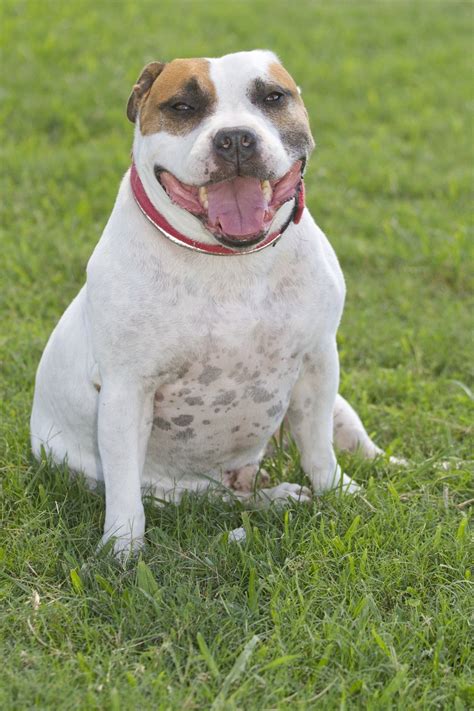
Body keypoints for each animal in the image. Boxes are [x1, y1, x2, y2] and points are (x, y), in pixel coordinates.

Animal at [29, 52, 386, 560]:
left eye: (273, 97)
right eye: (182, 106)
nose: (235, 138)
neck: (228, 260)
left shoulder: (318, 362)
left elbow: (318, 445)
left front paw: (340, 492)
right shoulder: (125, 391)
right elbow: (124, 488)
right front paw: (122, 551)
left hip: (336, 405)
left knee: (348, 443)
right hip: (168, 486)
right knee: (218, 497)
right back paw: (276, 498)